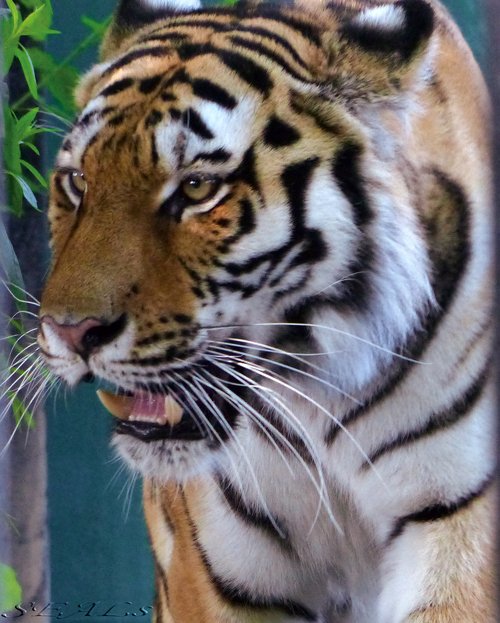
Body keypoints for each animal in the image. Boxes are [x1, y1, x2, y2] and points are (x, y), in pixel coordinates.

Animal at [37, 0, 494, 620]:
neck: (316, 399)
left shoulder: (458, 518)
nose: (70, 332)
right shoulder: (217, 573)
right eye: (78, 181)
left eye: (197, 188)